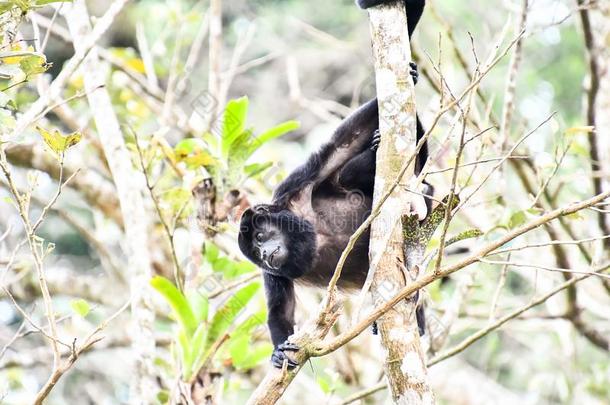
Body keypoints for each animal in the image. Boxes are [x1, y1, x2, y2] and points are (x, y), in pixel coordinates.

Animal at [235, 0, 430, 368]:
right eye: (255, 251)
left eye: (261, 237)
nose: (265, 254)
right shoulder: (273, 274)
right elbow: (280, 309)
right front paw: (278, 350)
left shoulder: (296, 184)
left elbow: (345, 141)